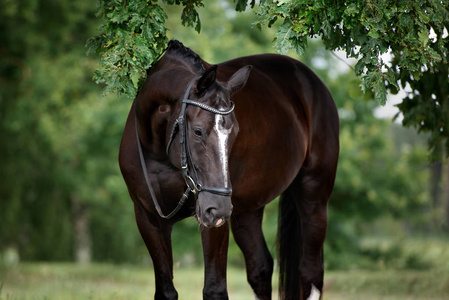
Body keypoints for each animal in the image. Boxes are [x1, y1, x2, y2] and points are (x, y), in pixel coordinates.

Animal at [117, 39, 338, 300]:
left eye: (235, 132)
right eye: (198, 131)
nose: (220, 208)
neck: (158, 151)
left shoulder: (212, 222)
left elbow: (214, 289)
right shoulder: (148, 219)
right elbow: (166, 291)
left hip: (314, 197)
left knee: (310, 272)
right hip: (247, 210)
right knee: (260, 268)